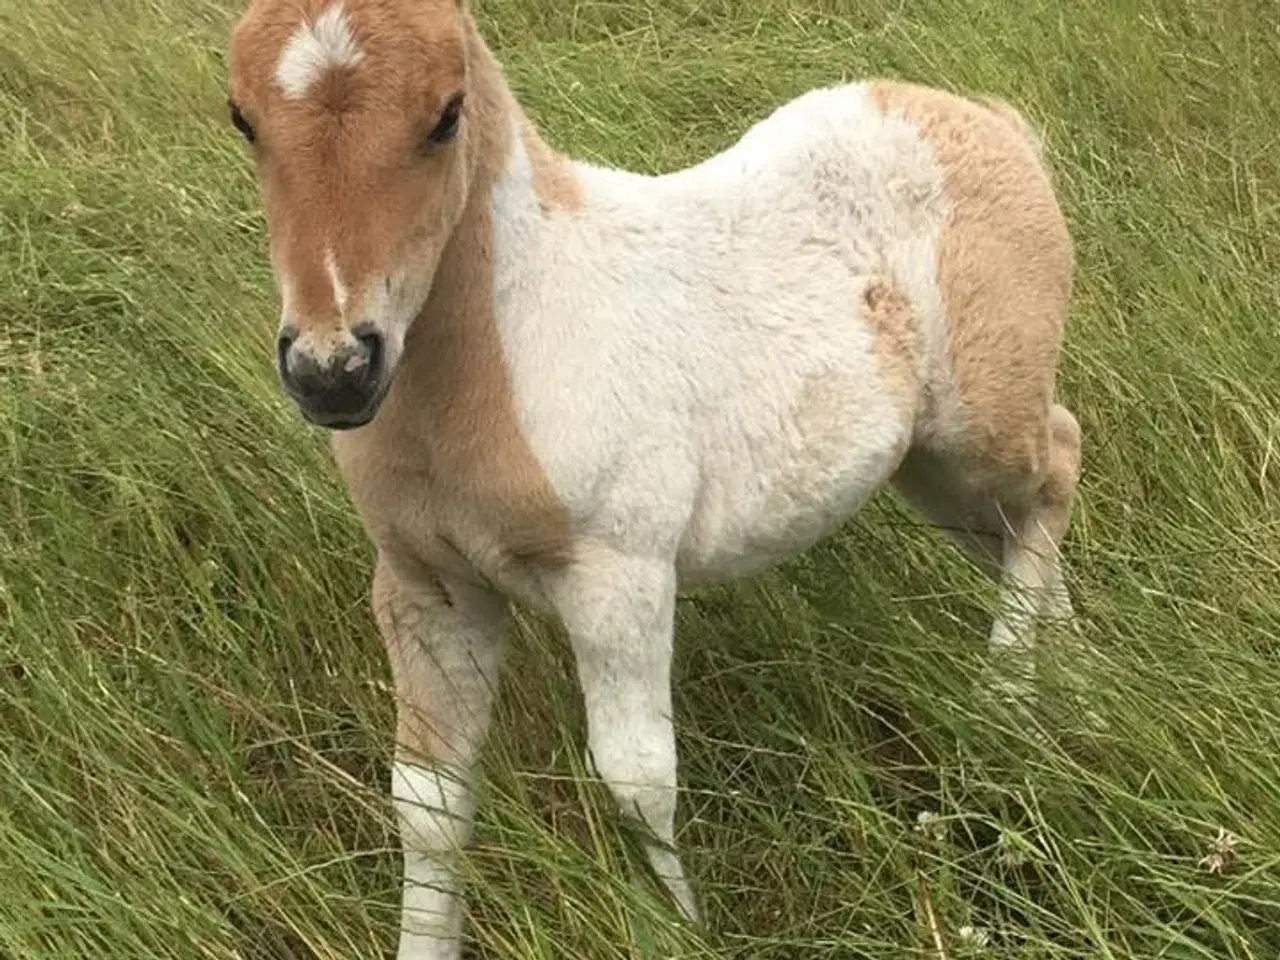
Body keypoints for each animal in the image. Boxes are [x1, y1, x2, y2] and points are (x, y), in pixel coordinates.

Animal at [227, 1, 1080, 957]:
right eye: (243, 119)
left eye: (446, 115)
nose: (333, 371)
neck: (512, 340)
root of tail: (988, 123)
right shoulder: (427, 586)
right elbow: (429, 803)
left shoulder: (619, 577)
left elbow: (636, 784)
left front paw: (681, 930)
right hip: (928, 470)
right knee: (1015, 533)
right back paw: (1072, 675)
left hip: (979, 427)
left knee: (1058, 465)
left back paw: (1007, 695)